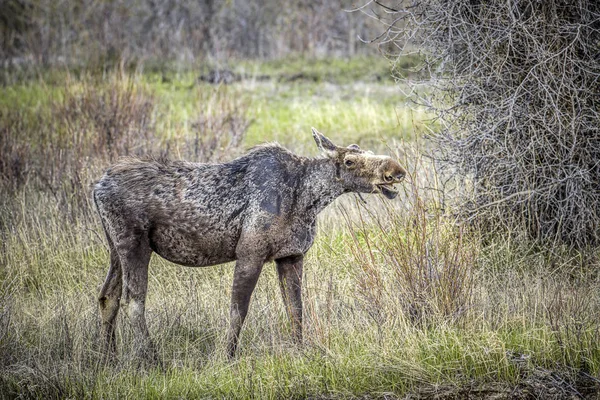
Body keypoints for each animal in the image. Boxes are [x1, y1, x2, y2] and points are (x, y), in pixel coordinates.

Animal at [94, 130, 406, 360]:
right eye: (350, 161)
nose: (396, 170)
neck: (308, 200)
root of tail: (96, 186)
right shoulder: (250, 253)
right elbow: (238, 311)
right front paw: (227, 357)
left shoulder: (292, 256)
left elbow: (296, 309)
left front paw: (301, 351)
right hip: (134, 244)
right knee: (133, 301)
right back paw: (151, 359)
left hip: (115, 248)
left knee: (108, 297)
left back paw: (110, 359)